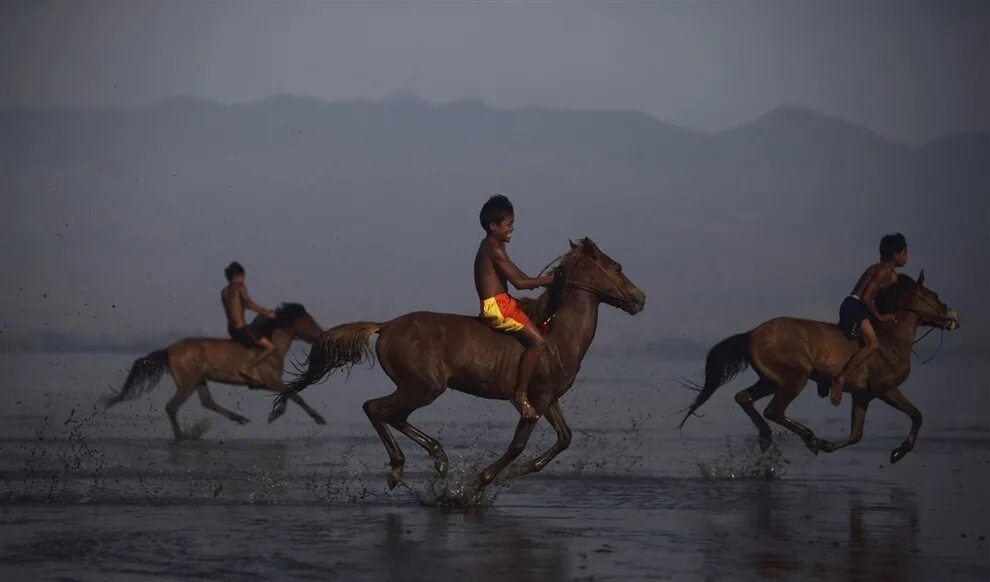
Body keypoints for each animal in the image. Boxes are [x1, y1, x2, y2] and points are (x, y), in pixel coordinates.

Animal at [108, 304, 326, 440]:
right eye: (309, 320)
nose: (321, 335)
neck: (271, 348)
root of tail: (168, 350)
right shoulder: (270, 381)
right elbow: (294, 394)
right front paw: (318, 418)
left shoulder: (267, 383)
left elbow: (289, 394)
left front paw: (276, 414)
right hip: (187, 384)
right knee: (172, 407)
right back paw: (182, 437)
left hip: (198, 381)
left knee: (207, 402)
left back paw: (238, 419)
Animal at [272, 240, 648, 496]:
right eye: (616, 267)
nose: (640, 299)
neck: (557, 332)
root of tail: (385, 326)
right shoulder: (534, 400)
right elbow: (517, 445)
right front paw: (477, 485)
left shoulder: (549, 398)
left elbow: (565, 439)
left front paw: (518, 472)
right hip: (424, 387)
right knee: (376, 408)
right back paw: (399, 469)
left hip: (418, 388)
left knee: (393, 415)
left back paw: (438, 458)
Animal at [680, 272, 960, 468]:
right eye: (934, 296)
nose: (954, 318)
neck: (891, 338)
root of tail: (750, 333)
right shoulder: (885, 389)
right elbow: (916, 415)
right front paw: (899, 452)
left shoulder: (862, 395)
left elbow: (856, 434)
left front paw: (827, 445)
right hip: (795, 378)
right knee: (773, 410)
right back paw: (808, 437)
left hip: (771, 380)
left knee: (744, 398)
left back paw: (768, 437)